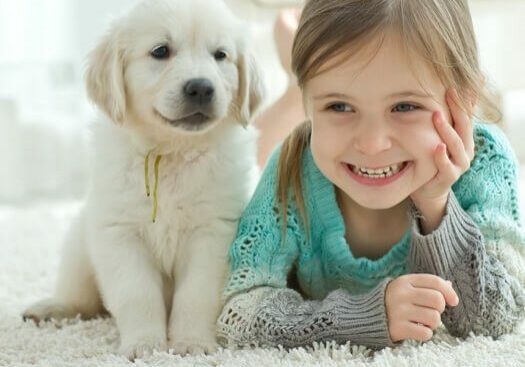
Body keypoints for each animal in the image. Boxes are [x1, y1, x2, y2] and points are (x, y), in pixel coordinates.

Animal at [22, 0, 264, 360]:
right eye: (160, 51)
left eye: (220, 55)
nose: (201, 87)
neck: (171, 151)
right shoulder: (119, 233)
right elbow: (136, 294)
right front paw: (145, 344)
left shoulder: (213, 232)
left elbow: (196, 294)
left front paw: (190, 342)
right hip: (78, 249)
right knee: (81, 300)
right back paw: (50, 308)